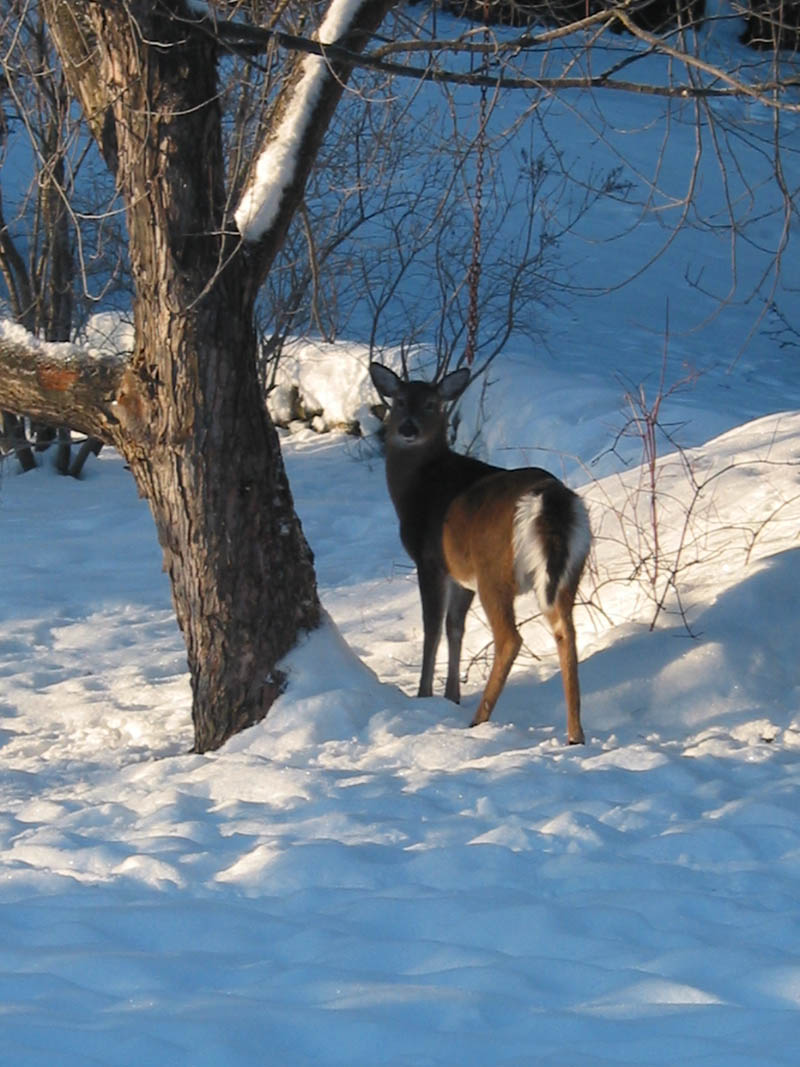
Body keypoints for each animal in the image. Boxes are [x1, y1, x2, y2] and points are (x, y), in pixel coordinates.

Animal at [373, 362, 593, 746]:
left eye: (432, 404)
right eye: (399, 400)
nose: (408, 428)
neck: (417, 486)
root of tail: (550, 497)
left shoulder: (430, 561)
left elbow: (432, 626)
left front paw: (424, 694)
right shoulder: (463, 576)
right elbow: (455, 627)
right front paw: (451, 696)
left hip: (495, 569)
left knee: (510, 638)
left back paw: (478, 721)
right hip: (568, 569)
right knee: (567, 633)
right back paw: (575, 735)